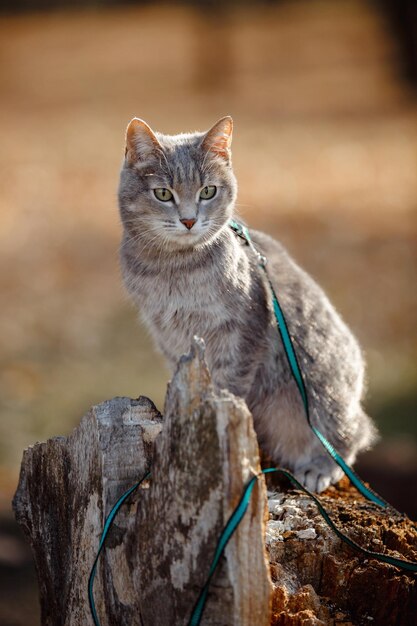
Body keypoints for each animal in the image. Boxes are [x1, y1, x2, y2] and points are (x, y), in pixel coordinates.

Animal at [118, 114, 376, 490]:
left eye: (207, 191)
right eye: (163, 193)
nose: (189, 219)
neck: (172, 269)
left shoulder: (243, 330)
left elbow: (227, 387)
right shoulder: (168, 337)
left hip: (321, 393)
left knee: (350, 435)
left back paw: (320, 467)